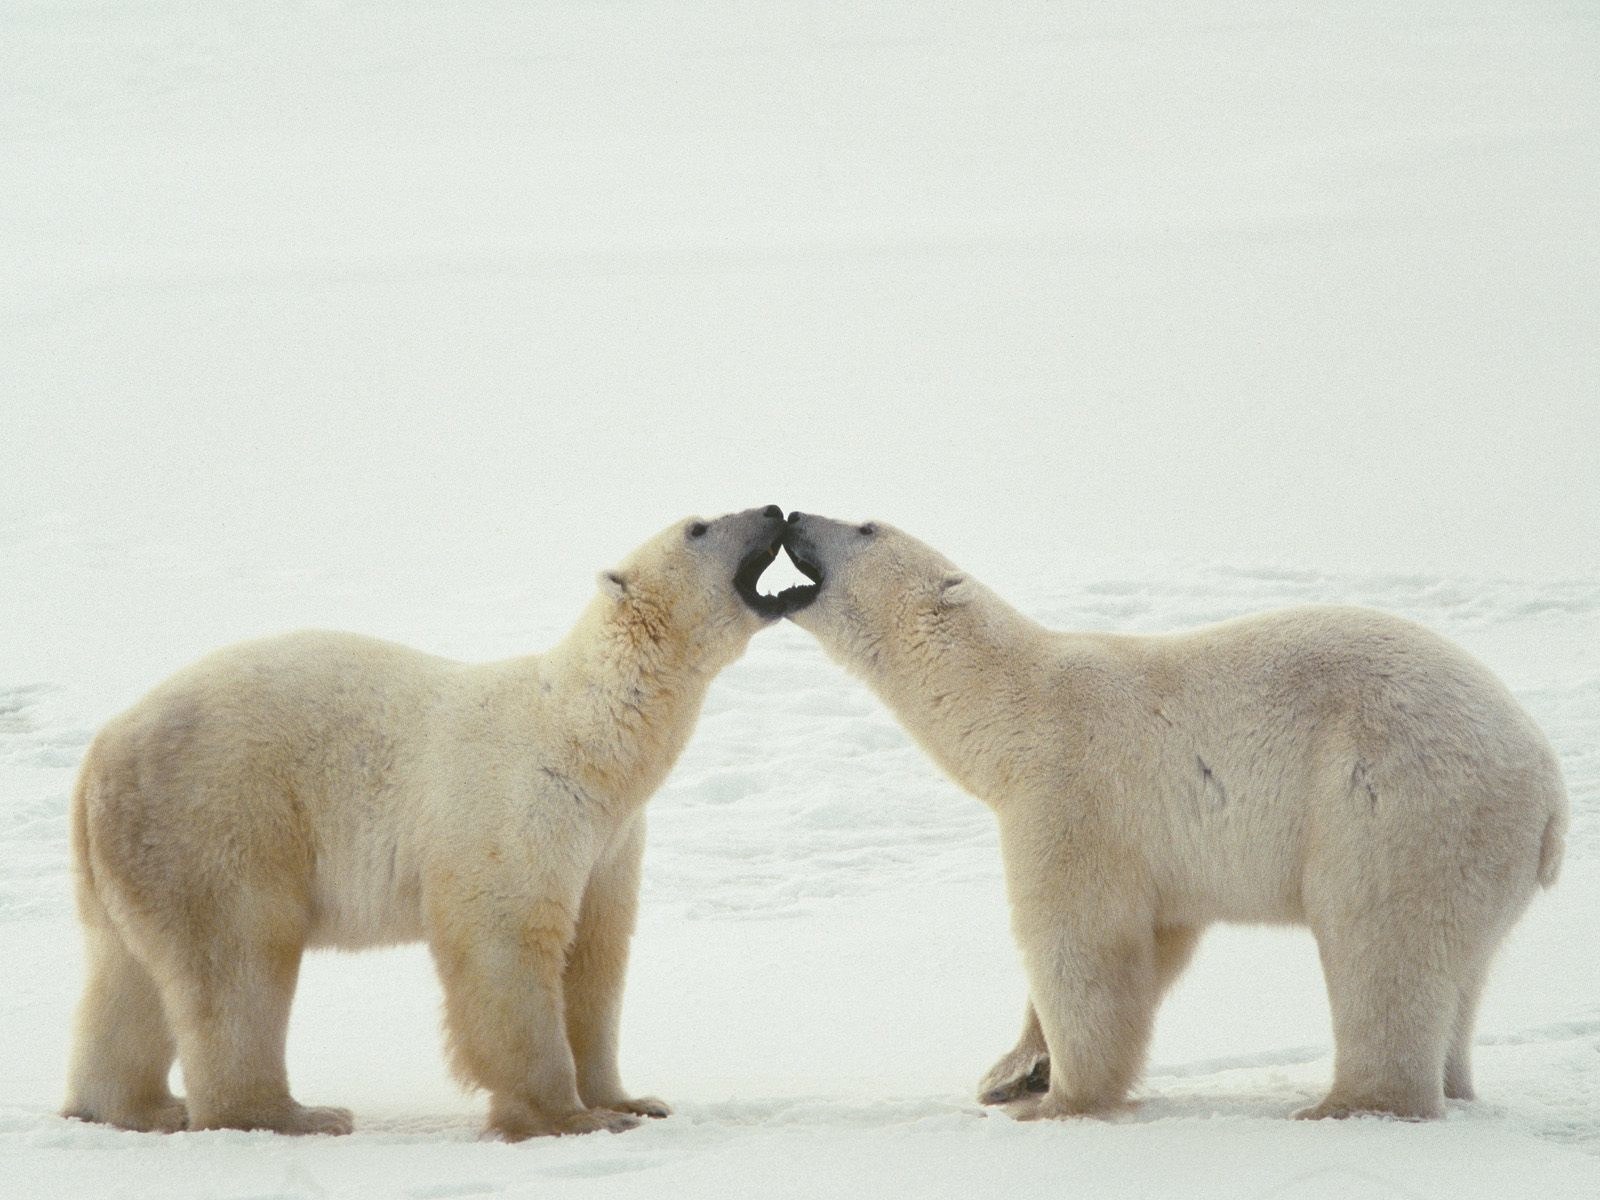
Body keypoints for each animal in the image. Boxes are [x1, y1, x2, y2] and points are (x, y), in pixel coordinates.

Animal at [62, 505, 799, 1140]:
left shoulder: (611, 839)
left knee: (124, 977)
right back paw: (291, 1113)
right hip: (217, 816)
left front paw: (632, 1100)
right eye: (699, 526)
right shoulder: (518, 805)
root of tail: (100, 752)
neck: (586, 737)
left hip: (137, 850)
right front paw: (568, 1117)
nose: (773, 510)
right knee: (238, 961)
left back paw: (133, 1107)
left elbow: (597, 952)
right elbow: (508, 941)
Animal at [778, 511, 1567, 1121]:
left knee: (1382, 946)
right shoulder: (1159, 850)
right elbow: (1157, 941)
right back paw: (1452, 1085)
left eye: (865, 525)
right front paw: (1012, 1071)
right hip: (1475, 851)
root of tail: (1550, 787)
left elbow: (1082, 945)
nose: (791, 516)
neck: (1013, 707)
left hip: (1398, 806)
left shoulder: (1074, 794)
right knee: (1463, 970)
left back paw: (1348, 1103)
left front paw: (1058, 1100)